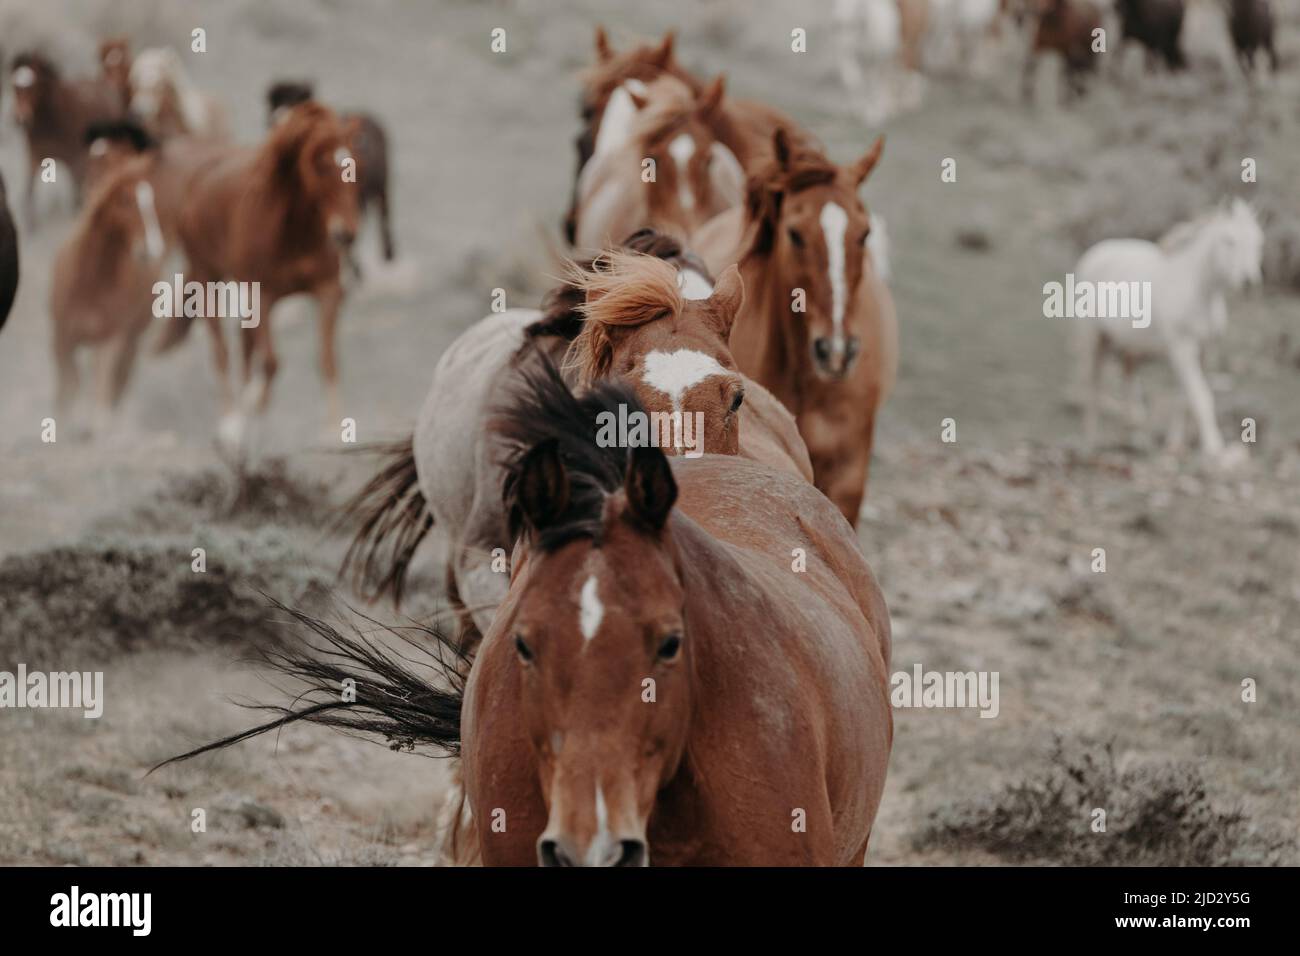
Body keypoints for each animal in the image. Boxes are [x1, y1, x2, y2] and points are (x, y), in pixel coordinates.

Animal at [8, 52, 124, 226]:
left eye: (33, 87)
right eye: (14, 86)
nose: (20, 119)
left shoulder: (74, 162)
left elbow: (76, 196)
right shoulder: (34, 157)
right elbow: (29, 191)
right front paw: (30, 222)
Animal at [50, 156, 167, 430]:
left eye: (150, 200)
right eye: (125, 199)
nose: (152, 248)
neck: (91, 283)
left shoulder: (110, 339)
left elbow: (100, 387)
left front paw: (97, 425)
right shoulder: (62, 336)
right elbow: (68, 384)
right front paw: (67, 419)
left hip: (131, 338)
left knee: (121, 378)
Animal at [152, 101, 360, 449]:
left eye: (352, 164)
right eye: (319, 165)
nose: (346, 234)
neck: (294, 234)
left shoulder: (326, 290)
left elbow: (327, 360)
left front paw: (333, 430)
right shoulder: (262, 296)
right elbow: (272, 363)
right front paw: (243, 419)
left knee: (245, 350)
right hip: (208, 280)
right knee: (222, 353)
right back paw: (229, 423)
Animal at [1072, 198, 1264, 466]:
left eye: (1258, 243)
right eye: (1229, 241)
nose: (1249, 282)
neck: (1199, 291)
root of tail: (1093, 253)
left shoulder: (1202, 351)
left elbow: (1184, 397)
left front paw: (1174, 445)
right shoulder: (1182, 347)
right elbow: (1201, 396)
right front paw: (1213, 447)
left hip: (1129, 346)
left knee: (1127, 379)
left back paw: (1131, 433)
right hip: (1093, 340)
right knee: (1092, 388)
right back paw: (1089, 444)